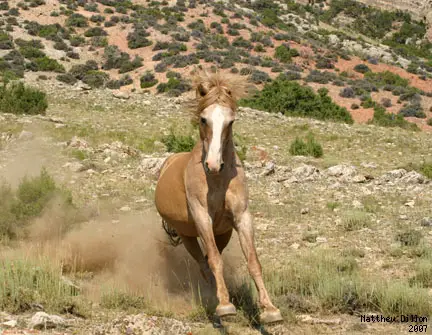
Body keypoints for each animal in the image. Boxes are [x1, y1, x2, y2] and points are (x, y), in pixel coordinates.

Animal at [155, 71, 284, 326]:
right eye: (204, 119)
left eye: (230, 121)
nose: (213, 165)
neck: (217, 181)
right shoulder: (202, 217)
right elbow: (214, 260)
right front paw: (225, 306)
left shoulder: (242, 217)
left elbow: (253, 261)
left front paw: (269, 309)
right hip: (187, 235)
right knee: (204, 263)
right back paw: (213, 297)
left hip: (222, 233)